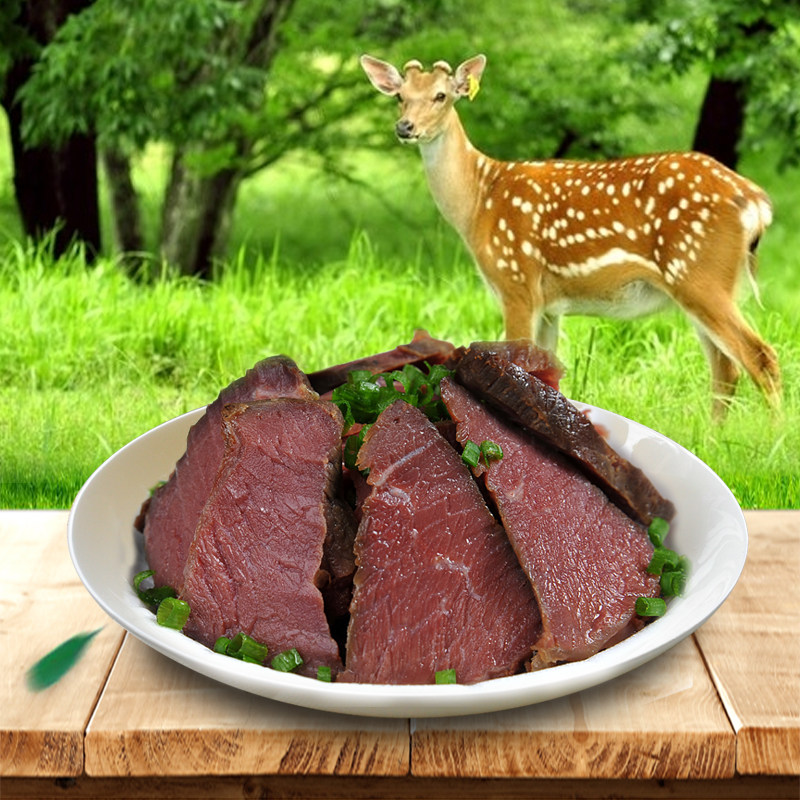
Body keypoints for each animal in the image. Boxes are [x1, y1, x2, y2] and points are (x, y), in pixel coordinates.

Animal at [360, 53, 781, 419]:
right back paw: (713, 439)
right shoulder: (549, 305)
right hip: (702, 284)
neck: (479, 202)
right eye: (400, 96)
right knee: (726, 369)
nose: (405, 127)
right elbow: (545, 372)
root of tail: (756, 202)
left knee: (760, 356)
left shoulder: (516, 282)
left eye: (441, 95)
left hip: (700, 271)